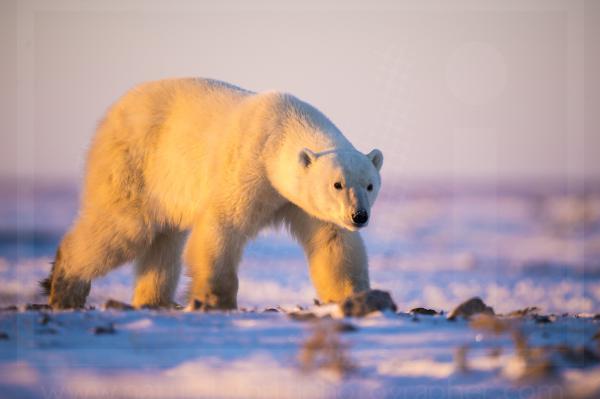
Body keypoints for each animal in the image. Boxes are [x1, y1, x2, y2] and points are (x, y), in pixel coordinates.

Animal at [44, 77, 386, 310]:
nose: (359, 216)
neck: (280, 131)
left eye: (369, 185)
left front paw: (355, 297)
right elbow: (223, 226)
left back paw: (154, 300)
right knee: (126, 226)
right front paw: (215, 300)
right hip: (134, 163)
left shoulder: (300, 202)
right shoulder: (248, 166)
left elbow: (333, 241)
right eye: (337, 184)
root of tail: (113, 111)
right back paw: (65, 286)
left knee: (164, 241)